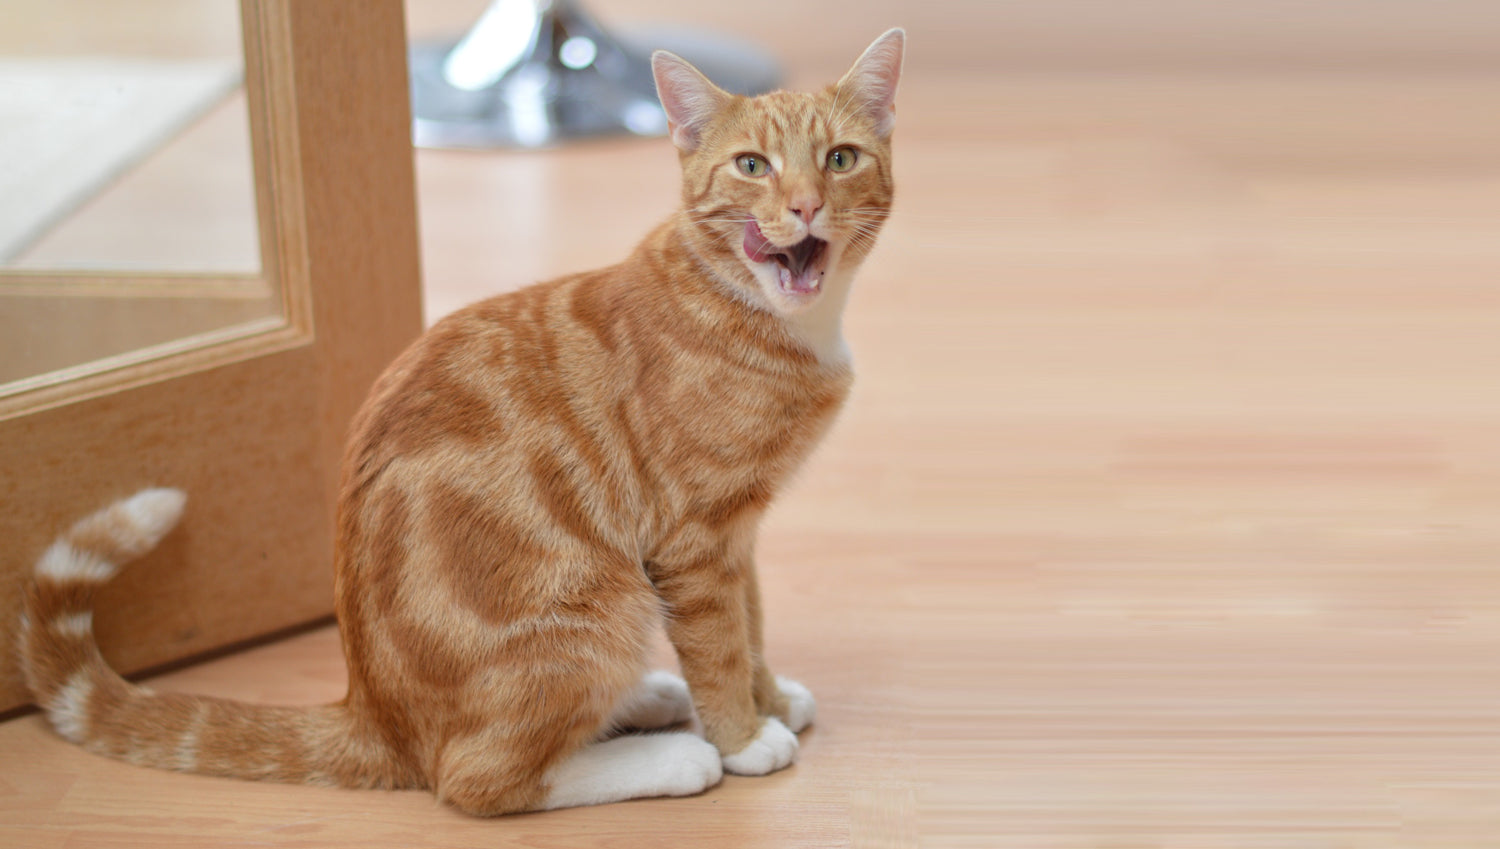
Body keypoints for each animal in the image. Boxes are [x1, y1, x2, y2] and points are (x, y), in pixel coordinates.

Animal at [17, 28, 900, 816]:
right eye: (752, 166)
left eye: (840, 158)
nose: (805, 206)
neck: (771, 315)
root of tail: (373, 712)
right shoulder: (693, 537)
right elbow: (718, 644)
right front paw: (742, 735)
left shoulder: (736, 534)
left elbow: (749, 625)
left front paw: (767, 698)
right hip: (602, 603)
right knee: (477, 777)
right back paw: (673, 753)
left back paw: (649, 698)